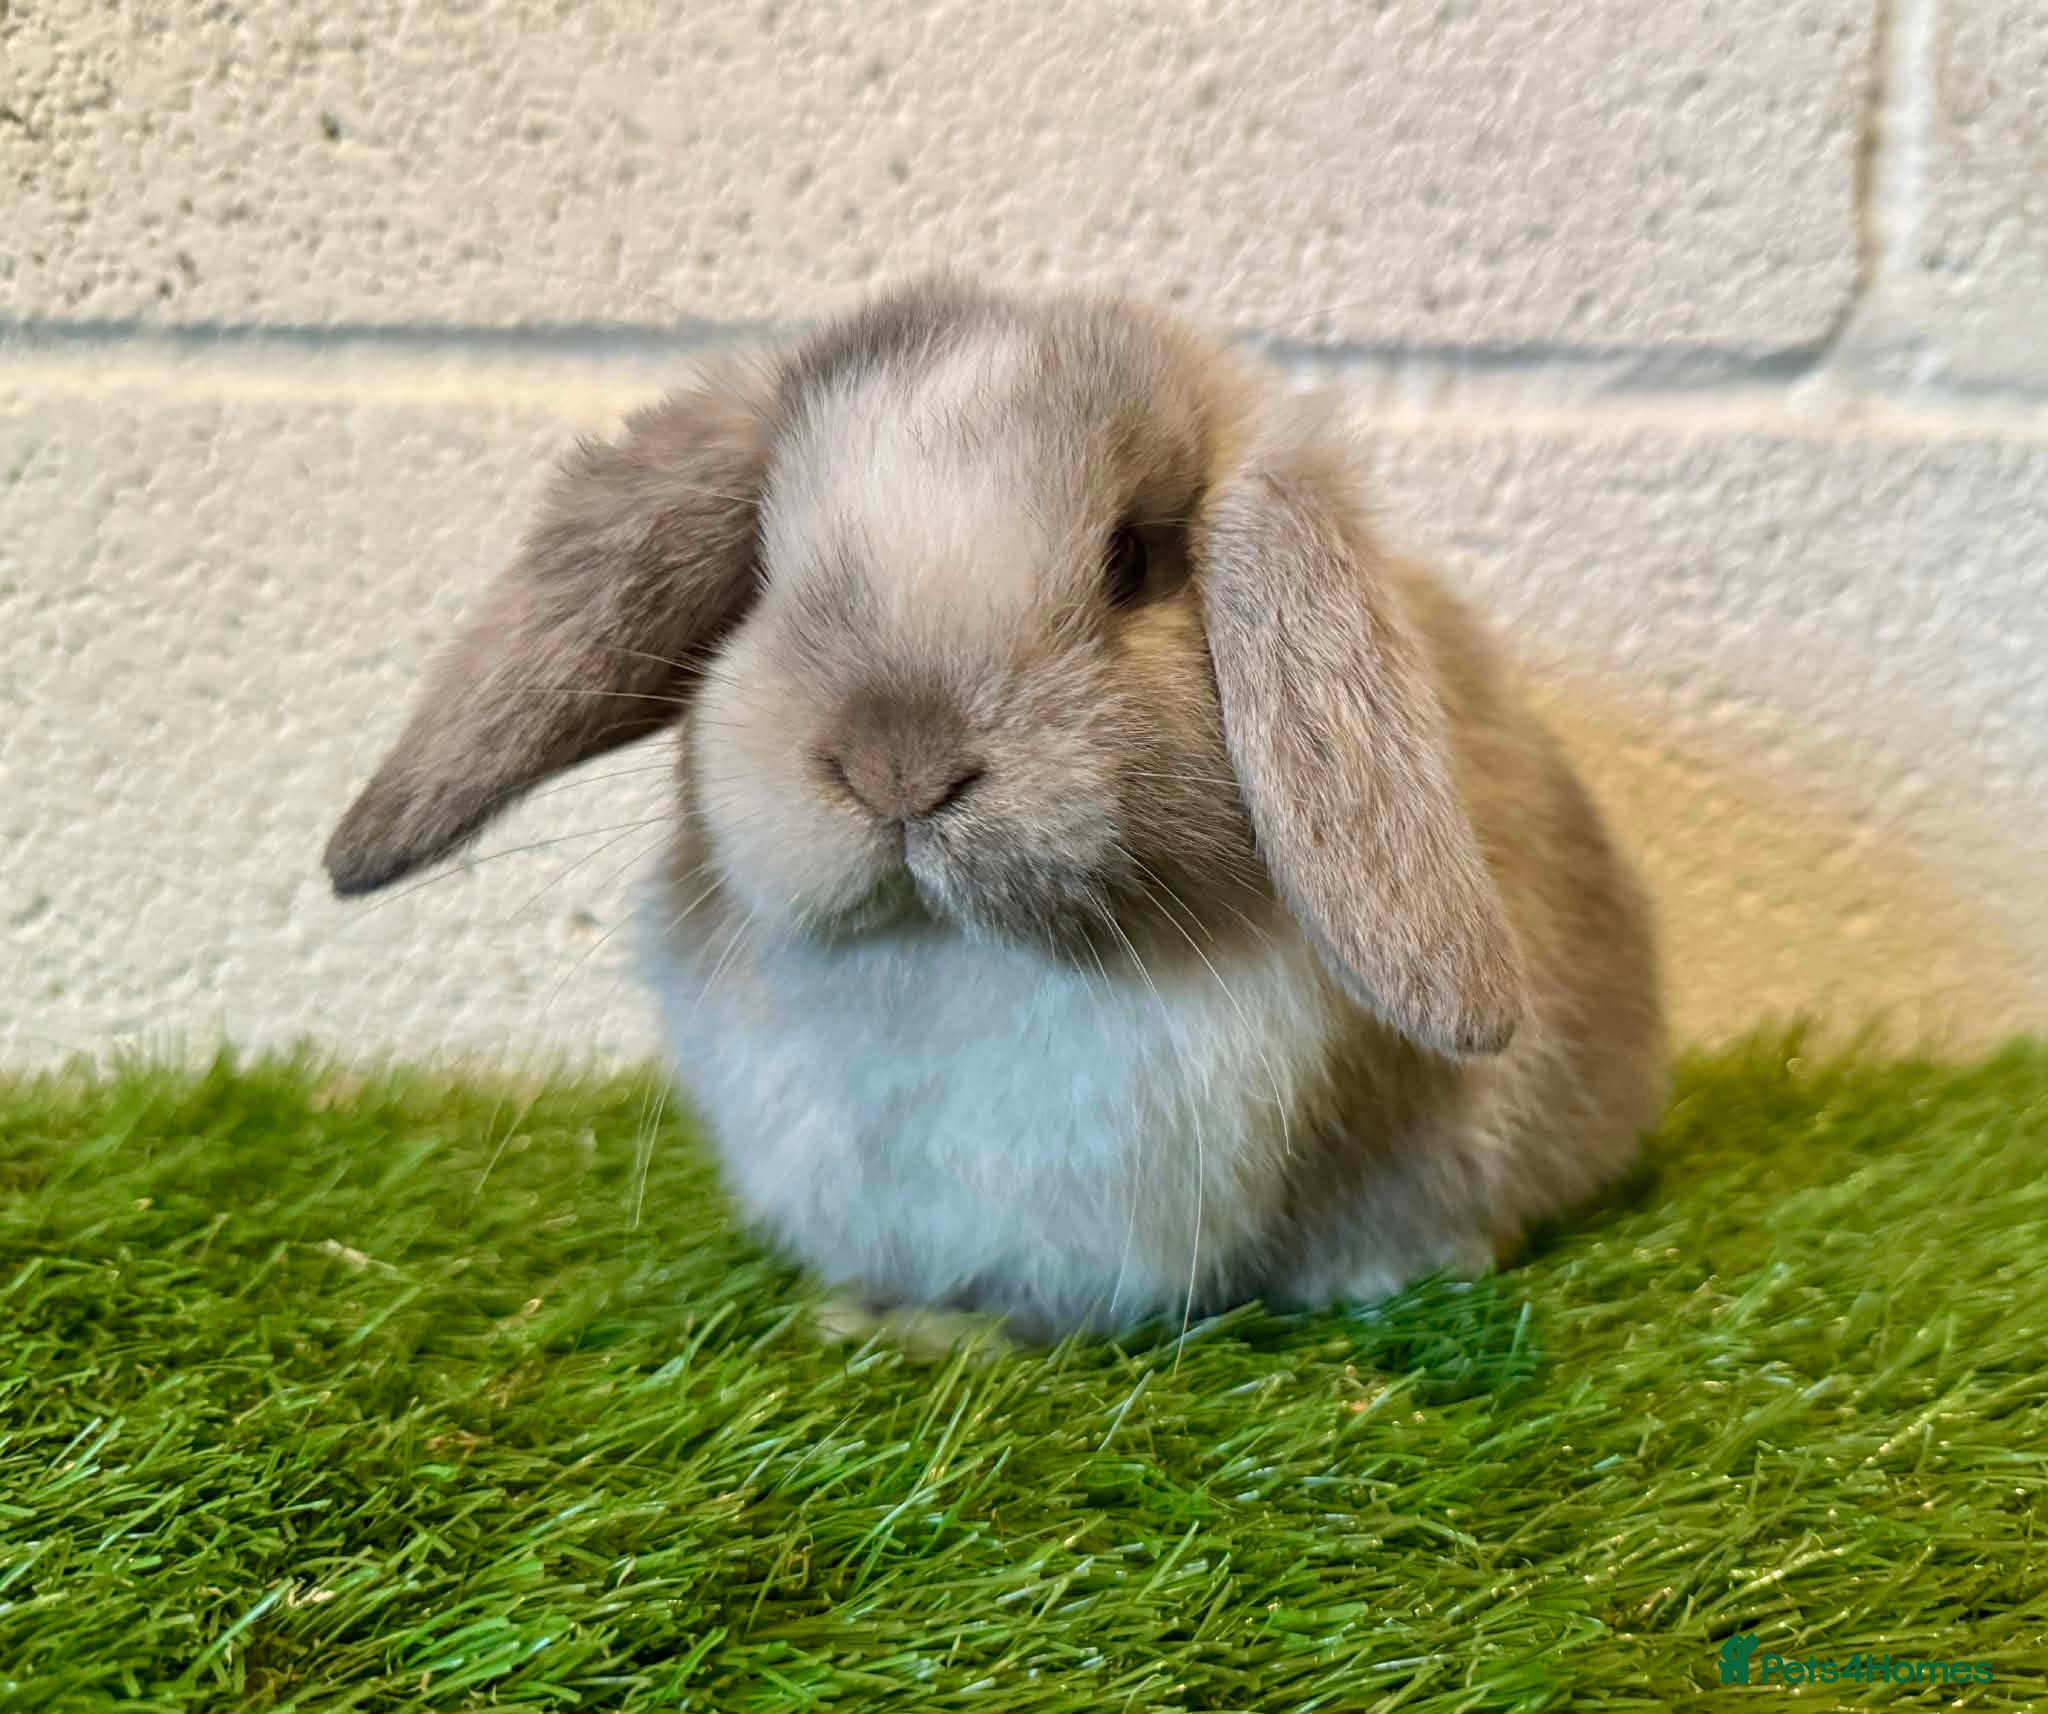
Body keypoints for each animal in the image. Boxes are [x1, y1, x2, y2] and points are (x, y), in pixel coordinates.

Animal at [324, 274, 1667, 1343]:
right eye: (760, 566)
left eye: (1132, 561)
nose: (897, 764)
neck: (953, 957)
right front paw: (868, 1315)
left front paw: (948, 1336)